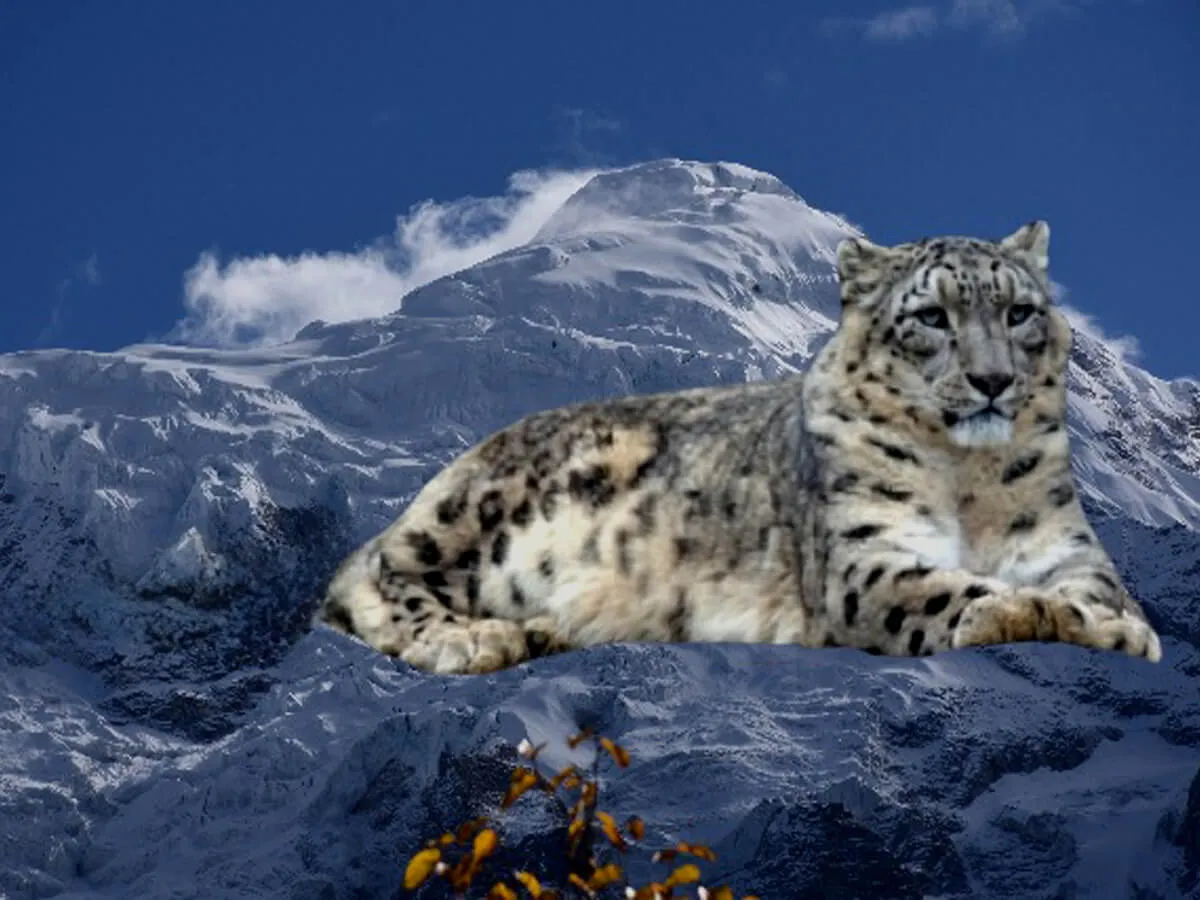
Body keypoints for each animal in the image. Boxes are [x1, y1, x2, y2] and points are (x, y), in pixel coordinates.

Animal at [316, 220, 1163, 675]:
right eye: (931, 317)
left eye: (1020, 311)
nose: (992, 380)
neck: (970, 481)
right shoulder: (864, 559)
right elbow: (953, 590)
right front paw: (1046, 616)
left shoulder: (1067, 547)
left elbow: (1095, 589)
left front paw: (1108, 623)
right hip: (475, 512)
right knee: (375, 575)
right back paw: (483, 637)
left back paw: (543, 628)